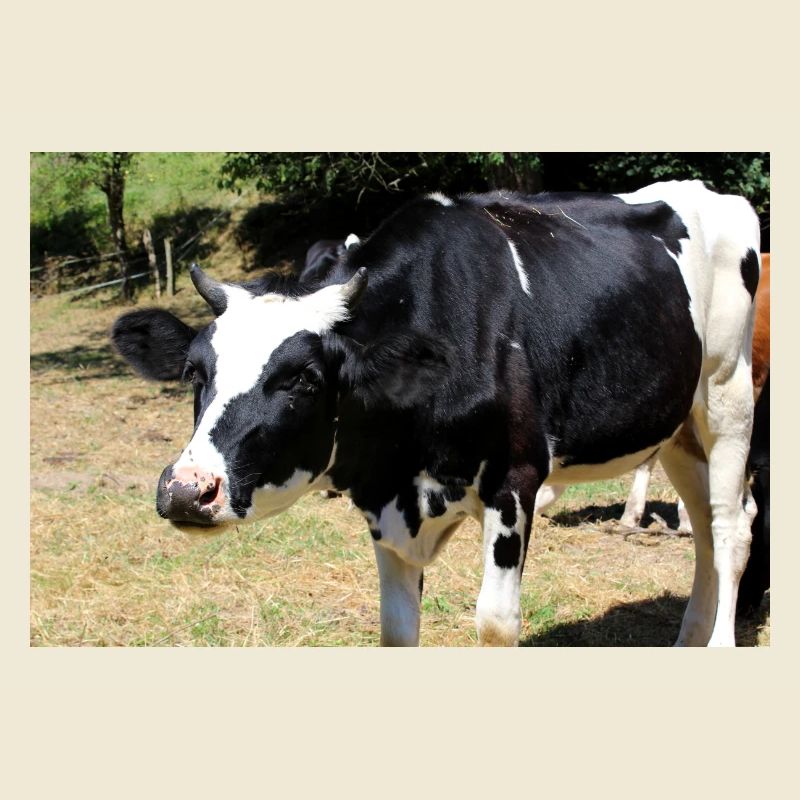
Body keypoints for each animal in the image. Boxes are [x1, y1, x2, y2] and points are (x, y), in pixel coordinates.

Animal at [112, 180, 760, 647]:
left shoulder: (515, 479)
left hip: (728, 395)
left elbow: (496, 622)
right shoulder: (385, 499)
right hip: (677, 427)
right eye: (195, 373)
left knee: (731, 526)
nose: (185, 490)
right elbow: (398, 629)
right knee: (706, 525)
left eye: (302, 379)